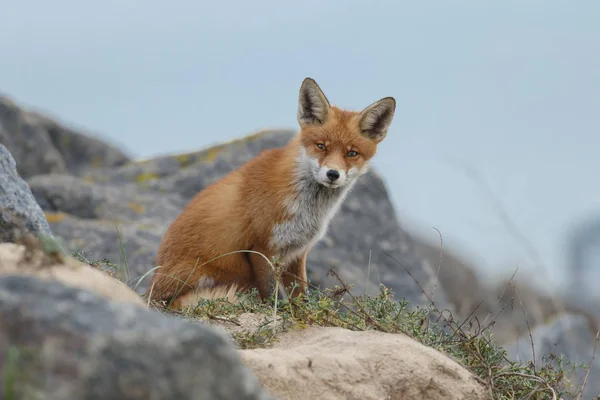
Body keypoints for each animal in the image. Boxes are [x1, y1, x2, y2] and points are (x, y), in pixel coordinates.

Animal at [146, 78, 396, 310]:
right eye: (321, 146)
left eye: (352, 153)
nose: (333, 174)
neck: (307, 207)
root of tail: (150, 294)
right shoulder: (262, 248)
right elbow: (273, 295)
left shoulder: (298, 252)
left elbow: (300, 293)